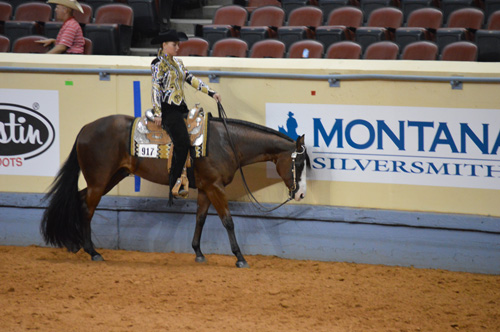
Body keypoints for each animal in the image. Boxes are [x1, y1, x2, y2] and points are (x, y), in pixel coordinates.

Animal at [41, 113, 310, 268]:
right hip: (100, 180)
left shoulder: (206, 188)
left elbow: (201, 218)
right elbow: (228, 221)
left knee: (79, 199)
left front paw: (198, 253)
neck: (226, 142)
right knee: (87, 208)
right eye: (298, 163)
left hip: (111, 177)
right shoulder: (215, 187)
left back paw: (76, 244)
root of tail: (85, 128)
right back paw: (92, 251)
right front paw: (240, 257)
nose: (300, 194)